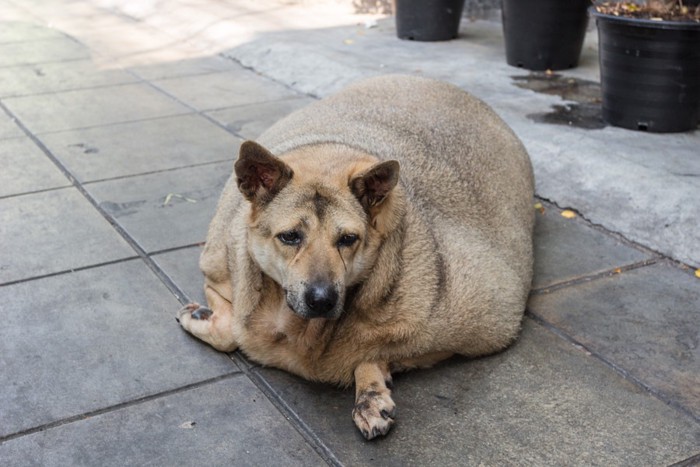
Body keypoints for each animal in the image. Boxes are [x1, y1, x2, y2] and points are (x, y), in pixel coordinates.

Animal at [178, 75, 532, 440]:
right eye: (290, 236)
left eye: (348, 239)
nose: (322, 299)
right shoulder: (219, 267)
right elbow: (230, 331)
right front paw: (201, 315)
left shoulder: (490, 320)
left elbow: (379, 350)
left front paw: (370, 384)